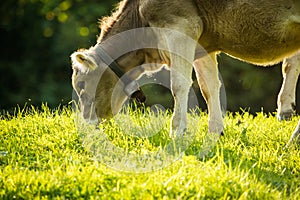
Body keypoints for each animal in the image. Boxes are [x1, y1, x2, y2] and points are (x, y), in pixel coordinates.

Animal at [71, 0, 300, 138]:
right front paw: (215, 132)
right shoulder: (203, 44)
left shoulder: (180, 27)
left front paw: (177, 130)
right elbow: (209, 87)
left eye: (81, 84)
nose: (86, 125)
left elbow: (179, 84)